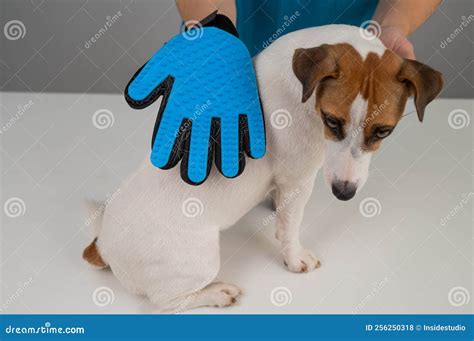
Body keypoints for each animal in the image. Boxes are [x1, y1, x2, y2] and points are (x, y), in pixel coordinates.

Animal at [83, 24, 442, 310]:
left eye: (383, 131)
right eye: (331, 121)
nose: (344, 193)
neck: (304, 91)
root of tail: (103, 245)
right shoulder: (299, 181)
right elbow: (289, 228)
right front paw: (295, 257)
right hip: (197, 260)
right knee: (167, 303)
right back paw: (215, 294)